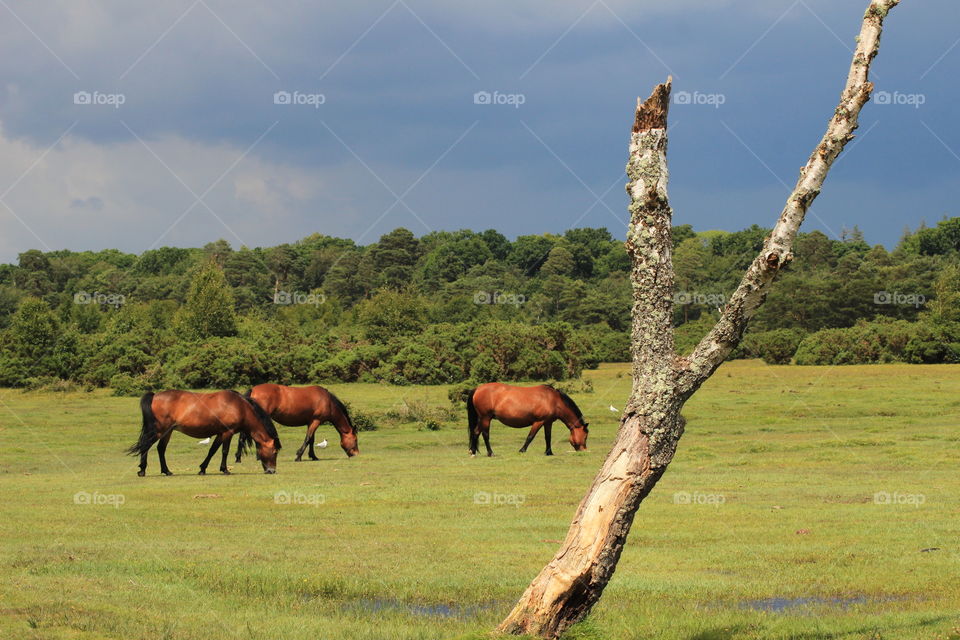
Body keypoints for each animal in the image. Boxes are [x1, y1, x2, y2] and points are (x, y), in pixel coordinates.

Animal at [126, 390, 282, 476]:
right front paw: (225, 470)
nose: (272, 471)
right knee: (146, 446)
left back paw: (166, 471)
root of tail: (155, 395)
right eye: (274, 451)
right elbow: (224, 451)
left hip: (167, 432)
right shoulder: (228, 432)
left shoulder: (220, 434)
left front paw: (202, 469)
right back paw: (142, 470)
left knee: (160, 449)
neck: (240, 406)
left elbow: (212, 451)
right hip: (159, 430)